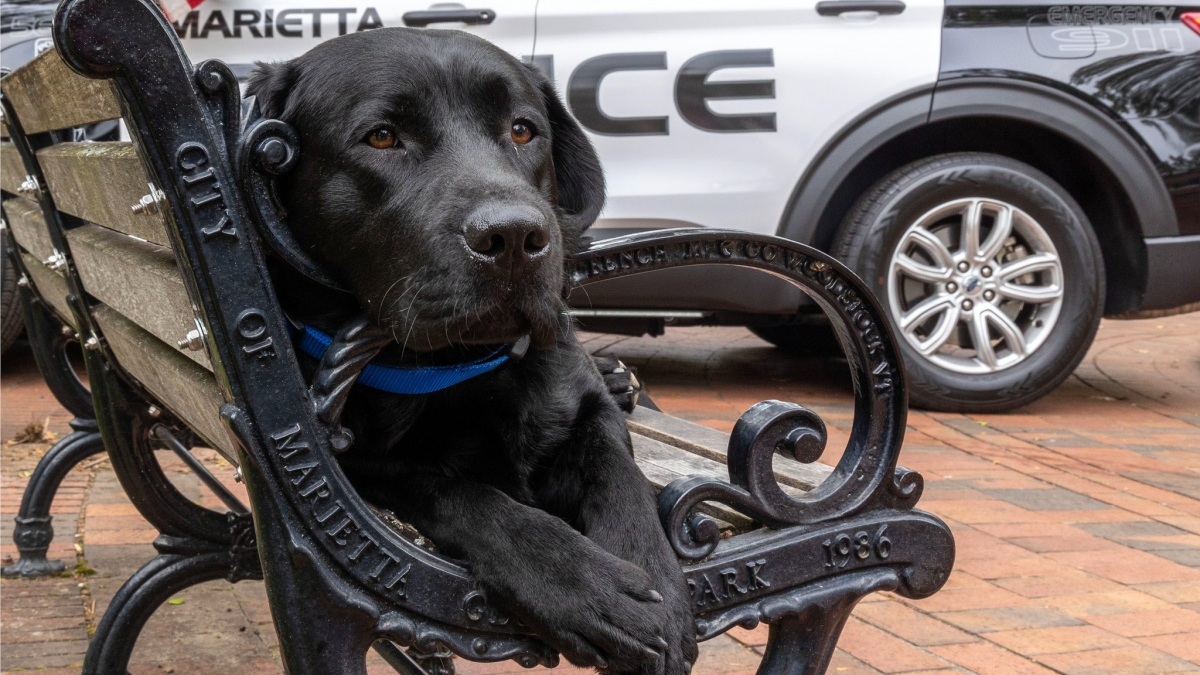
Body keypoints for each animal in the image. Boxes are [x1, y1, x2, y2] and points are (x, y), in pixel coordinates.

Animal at [252, 27, 700, 672]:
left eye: (522, 130)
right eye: (381, 136)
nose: (514, 235)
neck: (462, 366)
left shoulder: (585, 409)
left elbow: (619, 472)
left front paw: (655, 576)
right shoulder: (349, 466)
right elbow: (460, 491)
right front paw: (587, 586)